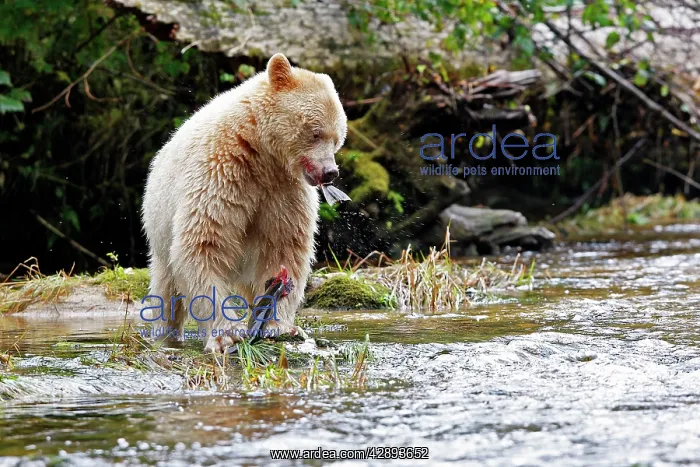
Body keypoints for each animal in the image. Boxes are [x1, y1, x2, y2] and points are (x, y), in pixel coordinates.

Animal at [142, 53, 347, 352]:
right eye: (315, 132)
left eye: (338, 138)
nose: (330, 172)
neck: (260, 151)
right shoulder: (221, 172)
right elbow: (204, 242)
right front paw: (227, 333)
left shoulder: (285, 191)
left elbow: (285, 246)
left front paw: (279, 325)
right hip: (160, 232)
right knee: (167, 293)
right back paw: (165, 335)